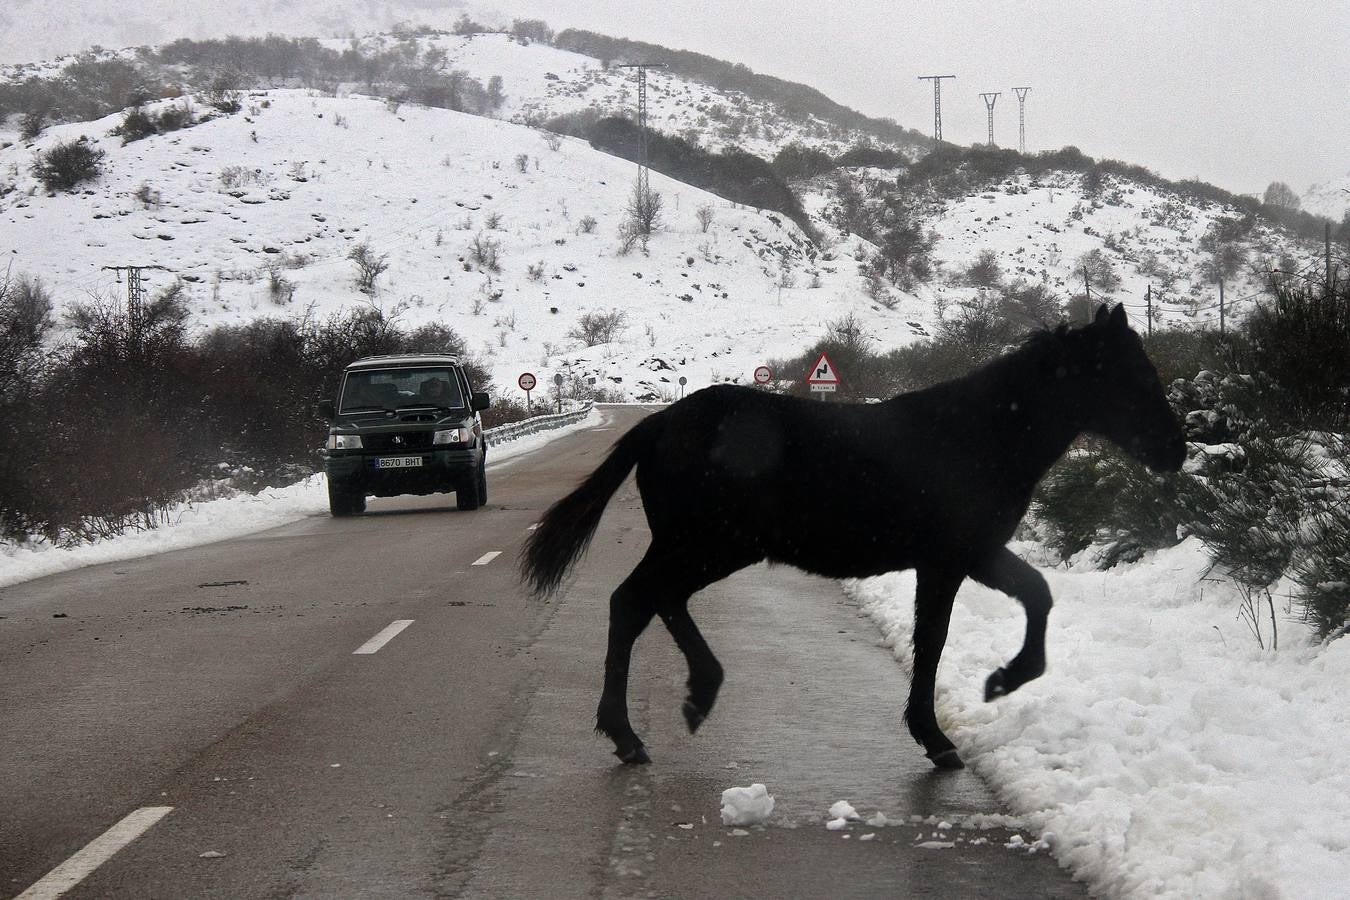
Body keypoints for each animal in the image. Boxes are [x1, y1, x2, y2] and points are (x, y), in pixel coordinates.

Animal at [521, 306, 1188, 771]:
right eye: (1132, 376)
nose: (1174, 452)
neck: (978, 434)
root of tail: (659, 423)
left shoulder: (967, 557)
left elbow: (1032, 595)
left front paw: (995, 686)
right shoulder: (951, 559)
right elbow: (937, 639)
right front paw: (949, 725)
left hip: (702, 548)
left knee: (644, 603)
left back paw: (650, 720)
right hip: (708, 545)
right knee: (641, 601)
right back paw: (665, 713)